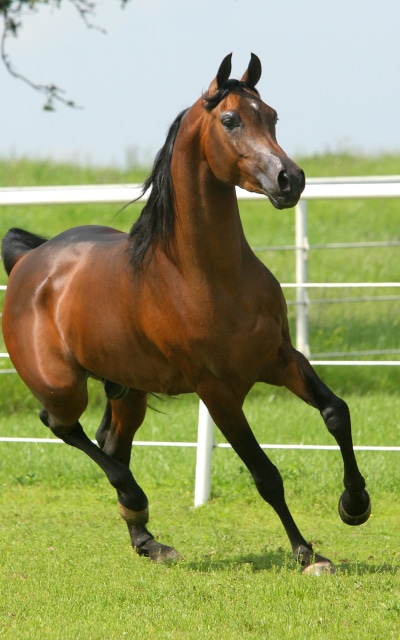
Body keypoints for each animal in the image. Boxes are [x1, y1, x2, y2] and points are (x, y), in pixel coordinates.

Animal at [2, 53, 370, 574]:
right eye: (230, 120)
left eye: (272, 116)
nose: (290, 180)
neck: (207, 276)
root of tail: (28, 260)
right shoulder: (216, 390)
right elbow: (265, 474)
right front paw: (306, 553)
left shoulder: (280, 358)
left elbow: (337, 412)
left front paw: (354, 505)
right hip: (62, 386)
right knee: (62, 426)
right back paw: (135, 501)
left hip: (128, 389)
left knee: (112, 442)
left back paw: (148, 540)